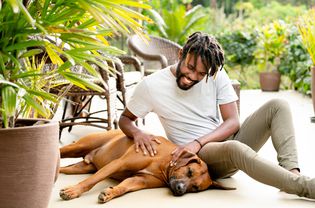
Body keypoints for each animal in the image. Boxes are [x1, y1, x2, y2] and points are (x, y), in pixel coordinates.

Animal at [59, 130, 232, 203]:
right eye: (189, 171)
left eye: (195, 188)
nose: (180, 190)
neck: (162, 163)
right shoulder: (117, 164)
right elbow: (90, 181)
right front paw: (73, 191)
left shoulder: (139, 180)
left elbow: (125, 187)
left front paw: (110, 192)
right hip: (78, 147)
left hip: (80, 167)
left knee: (60, 168)